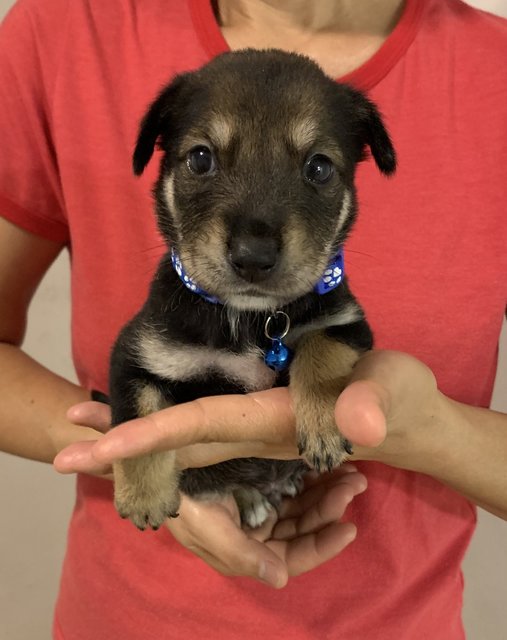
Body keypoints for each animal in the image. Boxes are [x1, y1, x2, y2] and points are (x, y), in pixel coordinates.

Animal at [110, 48, 396, 528]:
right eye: (200, 158)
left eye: (319, 167)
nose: (253, 255)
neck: (247, 316)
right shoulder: (137, 353)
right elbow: (137, 424)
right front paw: (144, 499)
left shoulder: (348, 322)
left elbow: (321, 350)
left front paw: (325, 427)